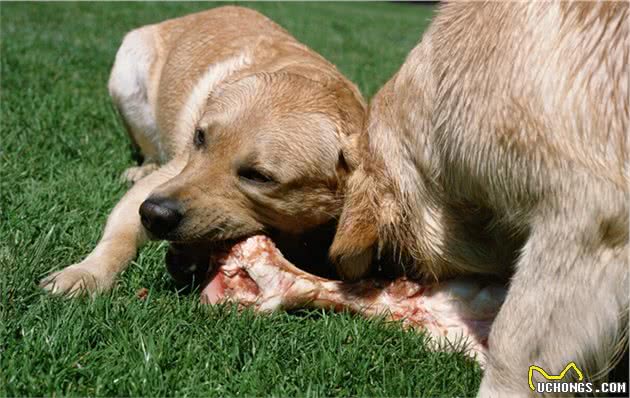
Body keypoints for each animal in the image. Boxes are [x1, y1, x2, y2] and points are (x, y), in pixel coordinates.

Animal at [40, 4, 366, 294]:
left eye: (258, 176)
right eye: (199, 138)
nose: (153, 213)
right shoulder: (163, 180)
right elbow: (119, 235)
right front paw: (85, 274)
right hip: (127, 75)